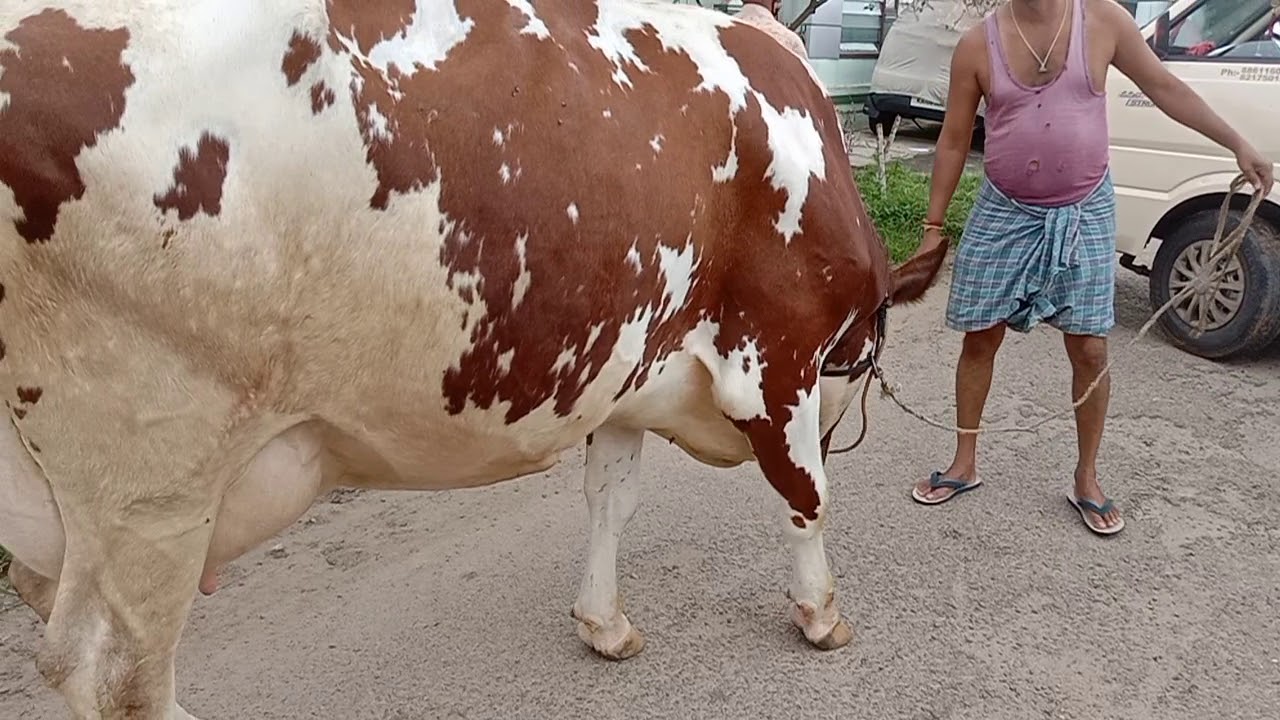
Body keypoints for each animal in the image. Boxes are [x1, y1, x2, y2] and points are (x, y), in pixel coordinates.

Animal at [0, 0, 947, 716]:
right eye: (857, 362)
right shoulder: (776, 354)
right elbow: (806, 499)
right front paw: (820, 615)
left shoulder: (626, 371)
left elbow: (611, 502)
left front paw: (604, 624)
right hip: (154, 474)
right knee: (111, 672)